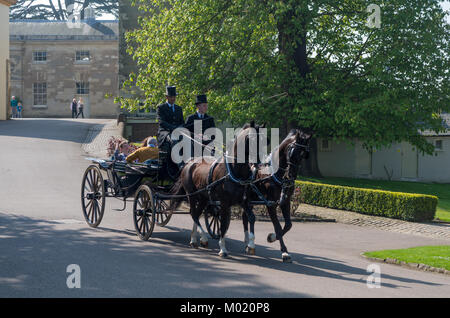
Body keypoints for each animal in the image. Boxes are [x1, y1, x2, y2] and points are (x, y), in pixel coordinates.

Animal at [170, 121, 264, 258]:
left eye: (265, 140)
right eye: (250, 139)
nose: (258, 164)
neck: (234, 170)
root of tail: (188, 163)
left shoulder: (244, 201)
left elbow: (251, 218)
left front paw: (251, 245)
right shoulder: (224, 203)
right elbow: (223, 224)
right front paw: (223, 249)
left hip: (203, 198)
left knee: (197, 214)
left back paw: (194, 239)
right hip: (191, 195)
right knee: (194, 214)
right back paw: (203, 238)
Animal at [243, 128, 312, 262]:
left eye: (303, 155)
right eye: (292, 152)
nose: (291, 176)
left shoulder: (285, 201)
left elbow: (288, 225)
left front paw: (272, 237)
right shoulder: (270, 205)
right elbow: (278, 227)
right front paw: (284, 251)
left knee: (246, 218)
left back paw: (248, 243)